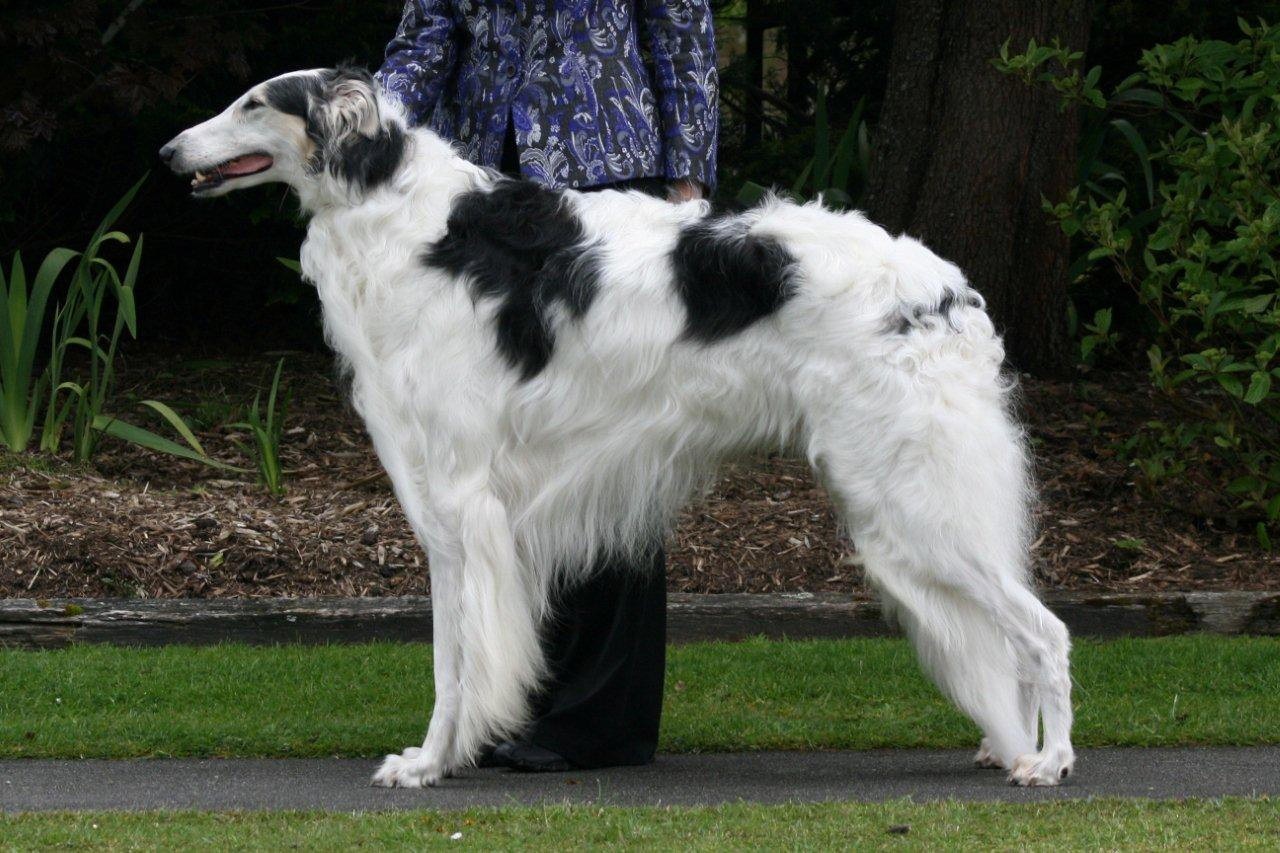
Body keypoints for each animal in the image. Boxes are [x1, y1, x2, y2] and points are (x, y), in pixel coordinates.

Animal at [162, 64, 1080, 783]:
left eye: (254, 102)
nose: (169, 154)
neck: (397, 211)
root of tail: (948, 290)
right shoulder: (451, 507)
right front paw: (443, 756)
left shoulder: (460, 501)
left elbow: (456, 660)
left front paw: (429, 761)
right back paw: (1013, 747)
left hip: (910, 503)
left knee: (1047, 631)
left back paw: (1052, 760)